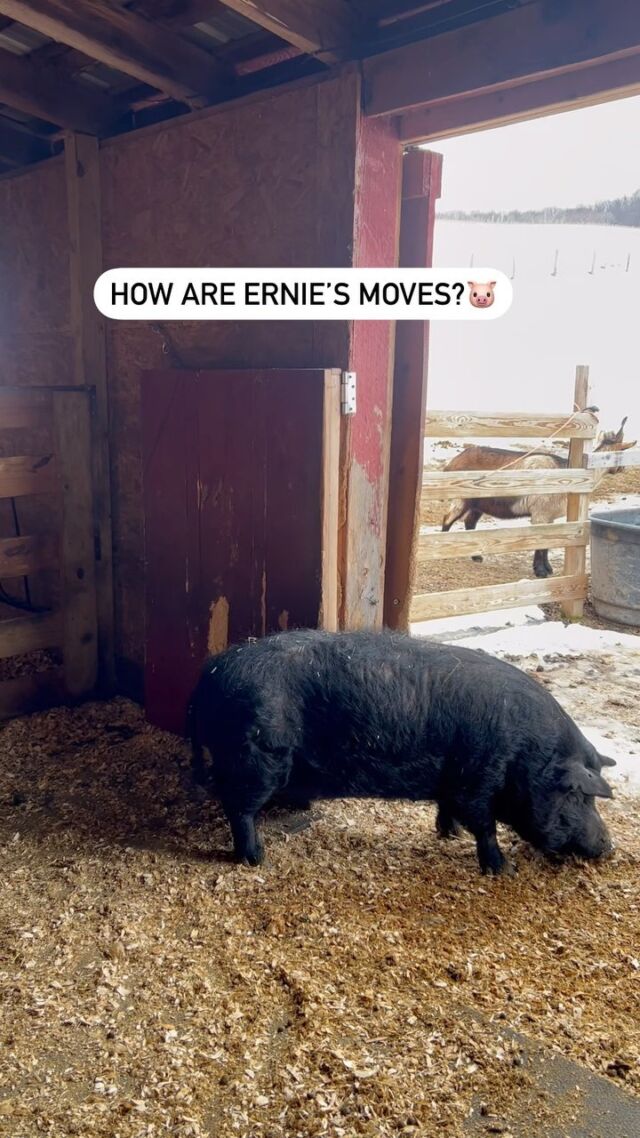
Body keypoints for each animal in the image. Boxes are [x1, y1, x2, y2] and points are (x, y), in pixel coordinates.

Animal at [187, 628, 614, 873]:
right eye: (579, 795)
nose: (609, 846)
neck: (527, 756)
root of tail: (210, 673)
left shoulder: (454, 778)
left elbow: (450, 809)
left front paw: (449, 835)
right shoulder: (478, 777)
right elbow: (485, 826)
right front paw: (503, 870)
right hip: (256, 759)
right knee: (239, 810)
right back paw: (257, 859)